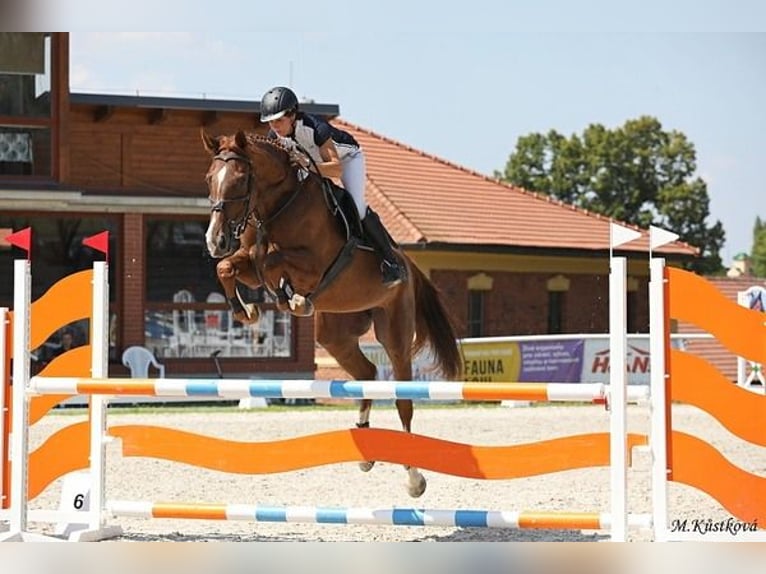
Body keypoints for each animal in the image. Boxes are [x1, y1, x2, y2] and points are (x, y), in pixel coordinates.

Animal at [201, 129, 462, 497]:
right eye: (209, 178)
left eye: (239, 179)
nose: (216, 240)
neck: (278, 206)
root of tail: (409, 265)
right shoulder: (247, 264)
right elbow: (229, 267)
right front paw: (248, 310)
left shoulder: (312, 264)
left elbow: (272, 260)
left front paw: (289, 299)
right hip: (335, 334)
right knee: (367, 373)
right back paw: (366, 451)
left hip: (394, 330)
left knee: (403, 399)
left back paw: (414, 479)